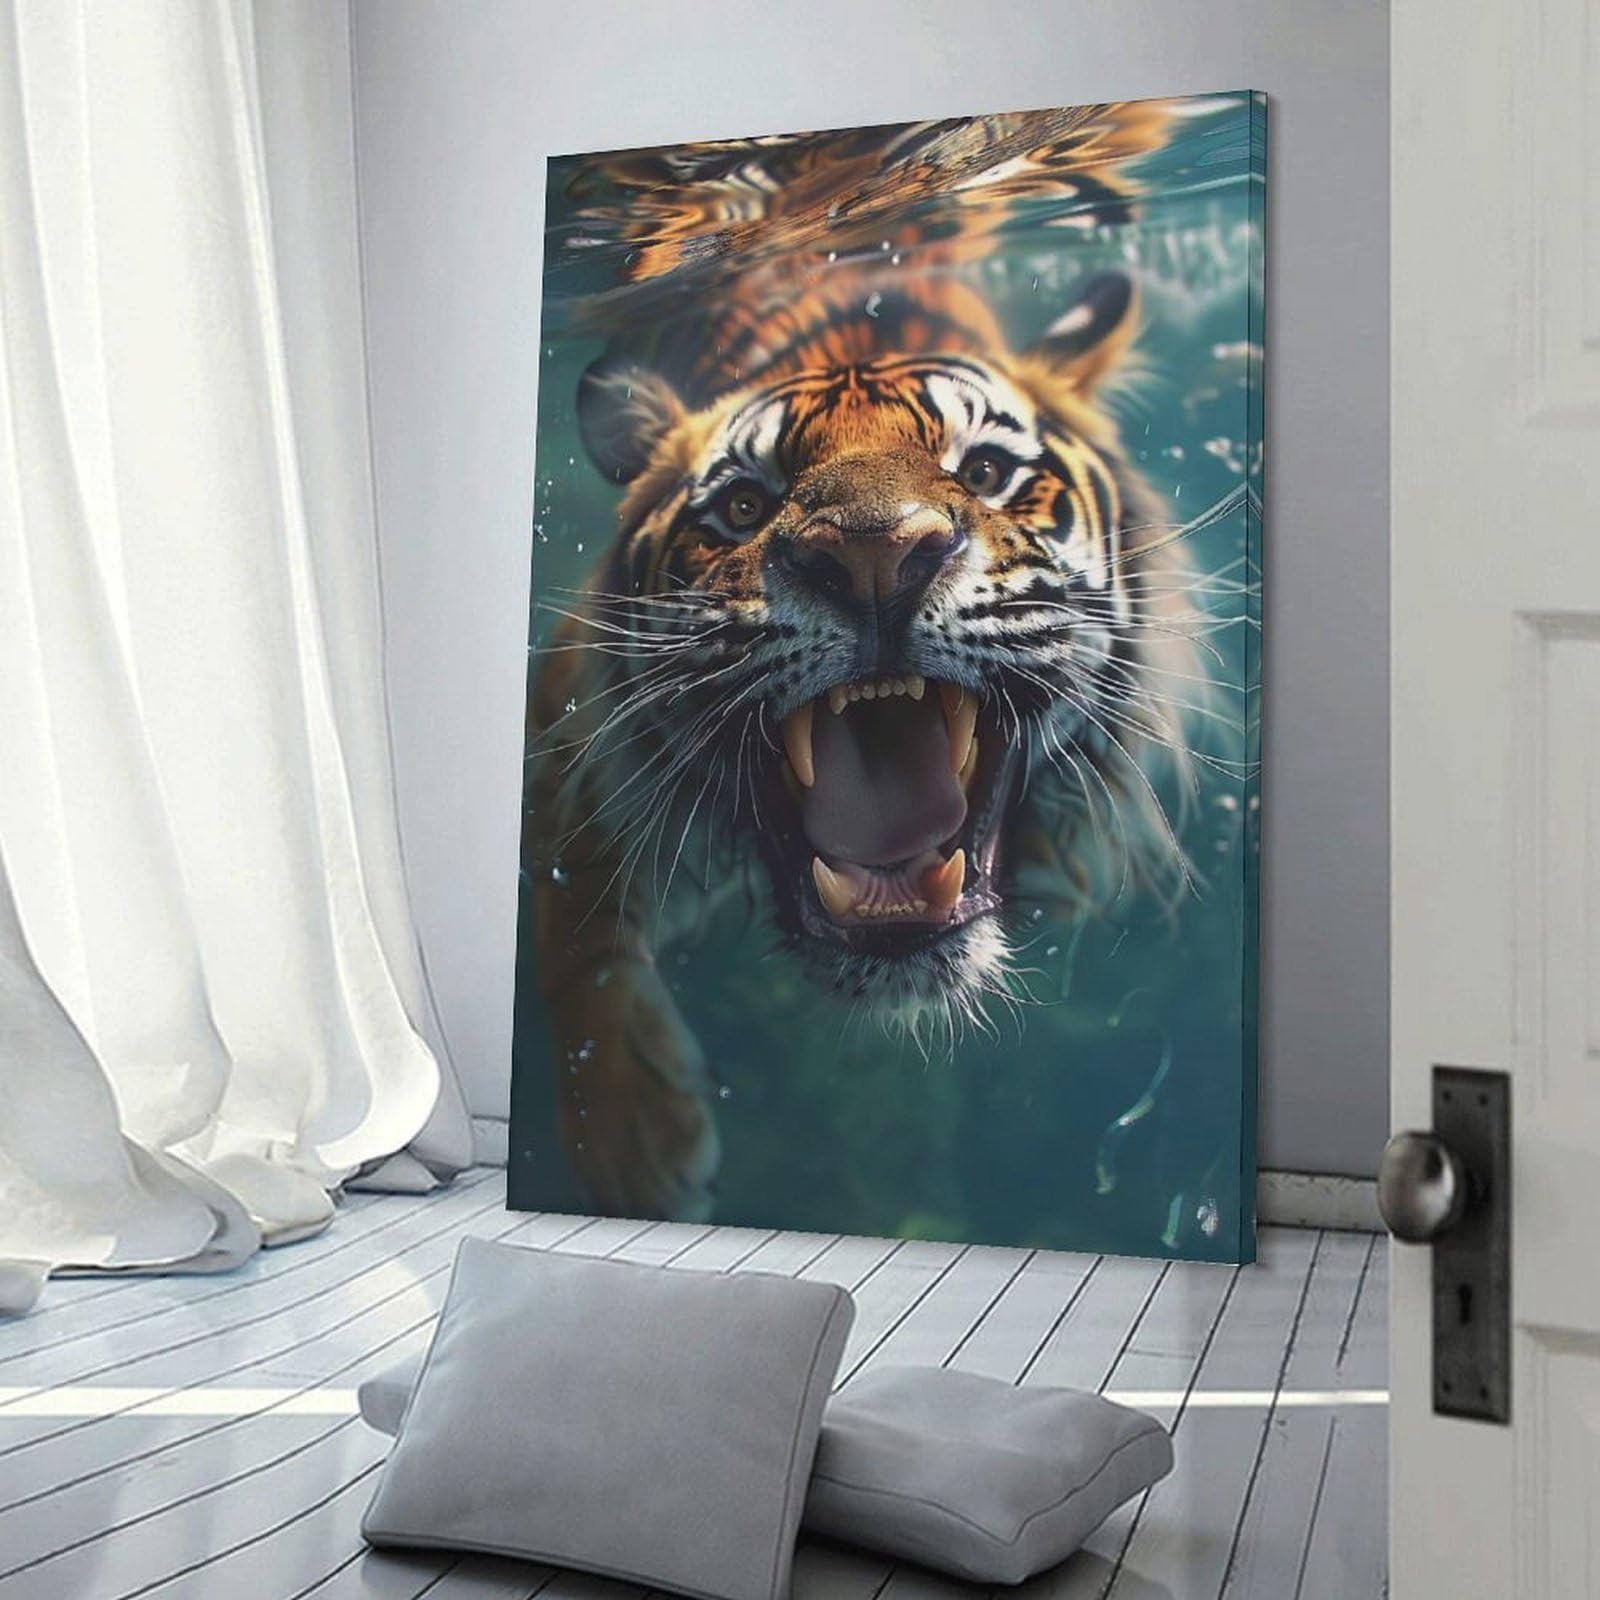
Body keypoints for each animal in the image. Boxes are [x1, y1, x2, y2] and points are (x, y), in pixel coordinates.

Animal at [526, 105, 1203, 1221]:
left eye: (984, 470)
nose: (876, 553)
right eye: (744, 504)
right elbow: (569, 911)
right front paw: (636, 1144)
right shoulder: (565, 731)